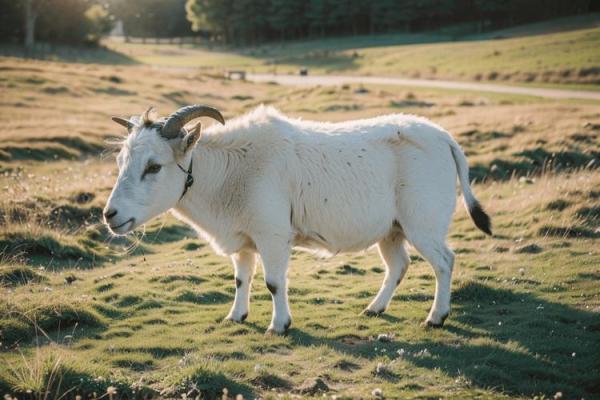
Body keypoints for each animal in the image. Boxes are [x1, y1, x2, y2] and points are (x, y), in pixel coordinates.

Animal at [106, 104, 492, 334]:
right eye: (121, 162)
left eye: (154, 166)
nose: (110, 215)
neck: (230, 171)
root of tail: (444, 139)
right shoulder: (243, 239)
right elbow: (241, 279)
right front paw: (236, 316)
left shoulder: (273, 235)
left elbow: (274, 282)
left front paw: (279, 325)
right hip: (391, 229)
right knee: (399, 265)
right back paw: (375, 309)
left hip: (422, 223)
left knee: (444, 261)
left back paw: (436, 316)